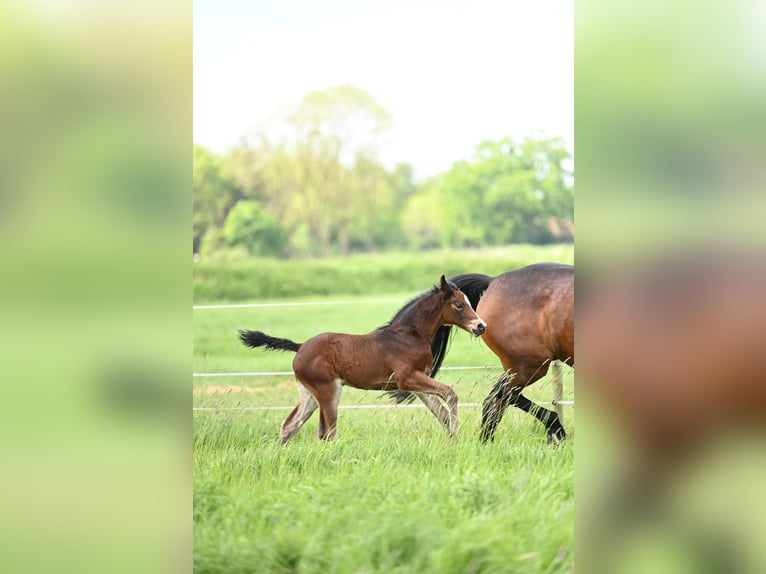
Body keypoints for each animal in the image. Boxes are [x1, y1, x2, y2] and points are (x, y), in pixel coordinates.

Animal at [240, 276, 488, 444]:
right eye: (458, 304)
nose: (480, 326)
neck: (409, 334)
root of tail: (300, 346)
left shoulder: (416, 383)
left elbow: (441, 413)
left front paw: (453, 437)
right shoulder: (407, 379)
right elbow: (450, 394)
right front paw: (456, 431)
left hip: (309, 393)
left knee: (289, 425)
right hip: (328, 390)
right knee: (328, 432)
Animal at [390, 264, 576, 444]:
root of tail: (493, 281)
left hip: (518, 367)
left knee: (495, 400)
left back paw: (487, 442)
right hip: (530, 365)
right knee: (500, 394)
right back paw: (555, 429)